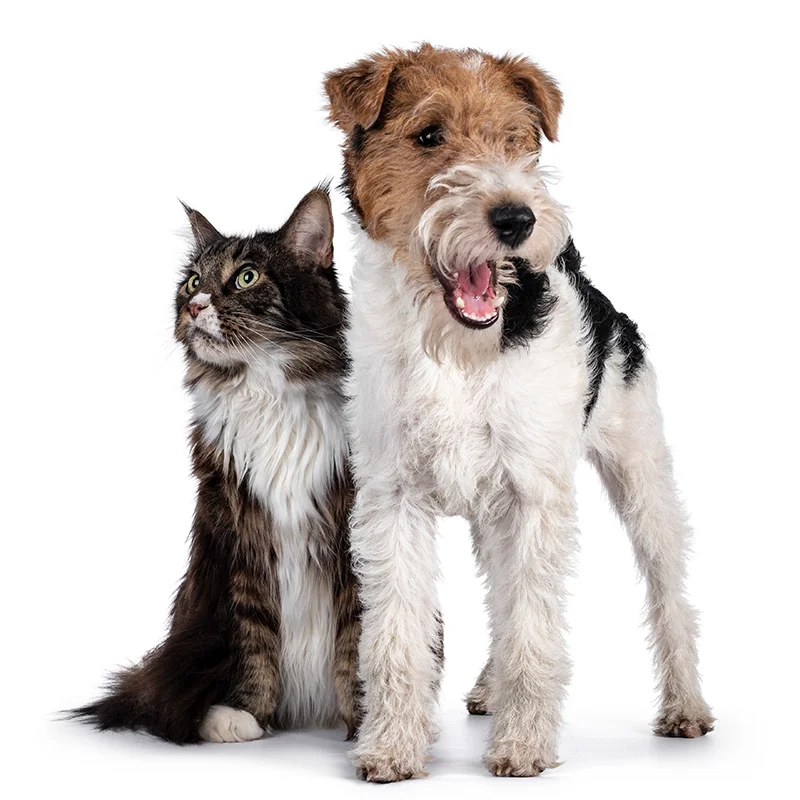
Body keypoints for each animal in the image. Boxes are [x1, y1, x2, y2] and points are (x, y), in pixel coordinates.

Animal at [72, 188, 360, 744]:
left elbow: (360, 639)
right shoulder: (238, 533)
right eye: (191, 281)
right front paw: (245, 714)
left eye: (246, 277)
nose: (194, 304)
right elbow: (254, 639)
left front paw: (373, 724)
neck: (267, 393)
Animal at [324, 43, 712, 780]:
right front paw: (391, 748)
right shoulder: (393, 498)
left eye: (516, 140)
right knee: (500, 602)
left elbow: (533, 630)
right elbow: (396, 637)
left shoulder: (533, 497)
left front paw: (524, 746)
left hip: (641, 478)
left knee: (668, 597)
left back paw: (686, 708)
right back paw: (486, 689)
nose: (516, 220)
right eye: (428, 135)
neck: (457, 352)